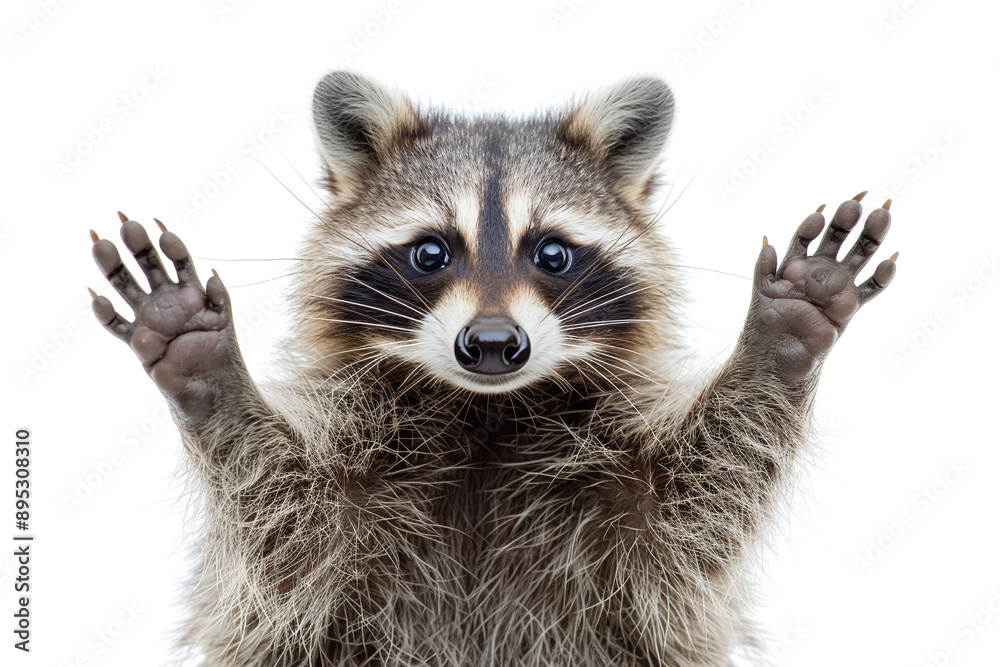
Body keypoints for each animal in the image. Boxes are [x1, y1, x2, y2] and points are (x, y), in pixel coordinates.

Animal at [88, 71, 897, 666]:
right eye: (430, 252)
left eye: (552, 253)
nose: (493, 344)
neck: (486, 411)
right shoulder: (329, 548)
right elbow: (286, 527)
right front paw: (210, 375)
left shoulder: (632, 537)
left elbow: (697, 504)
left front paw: (780, 339)